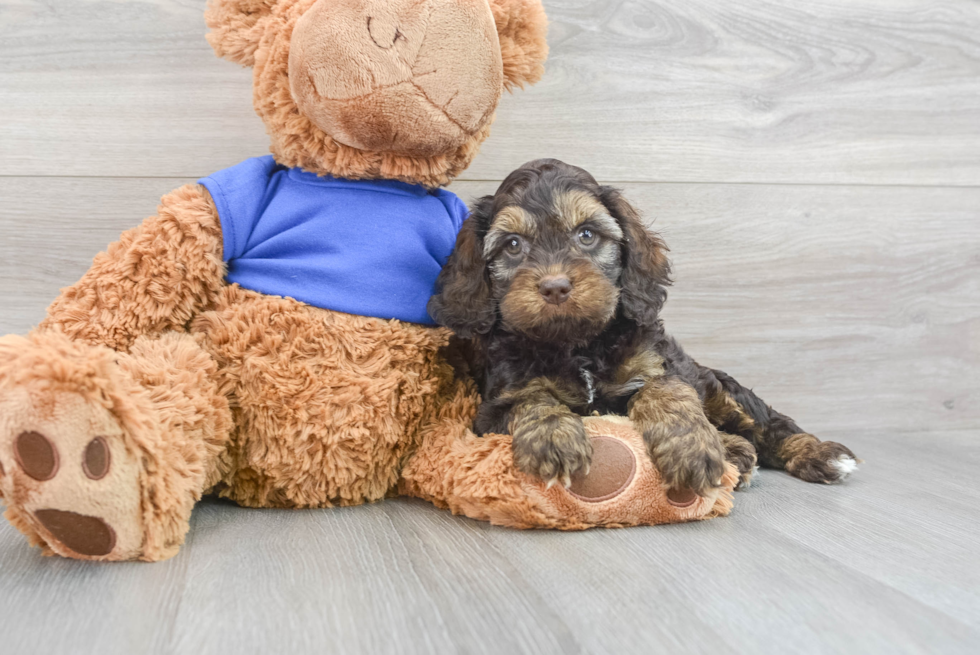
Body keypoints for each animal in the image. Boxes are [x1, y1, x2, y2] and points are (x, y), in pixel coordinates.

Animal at [430, 160, 856, 498]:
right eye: (513, 245)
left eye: (587, 235)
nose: (555, 286)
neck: (577, 345)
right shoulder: (494, 407)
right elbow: (530, 400)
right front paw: (554, 438)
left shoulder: (657, 365)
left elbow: (665, 390)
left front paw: (691, 447)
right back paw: (736, 449)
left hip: (717, 386)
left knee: (767, 423)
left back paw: (817, 453)